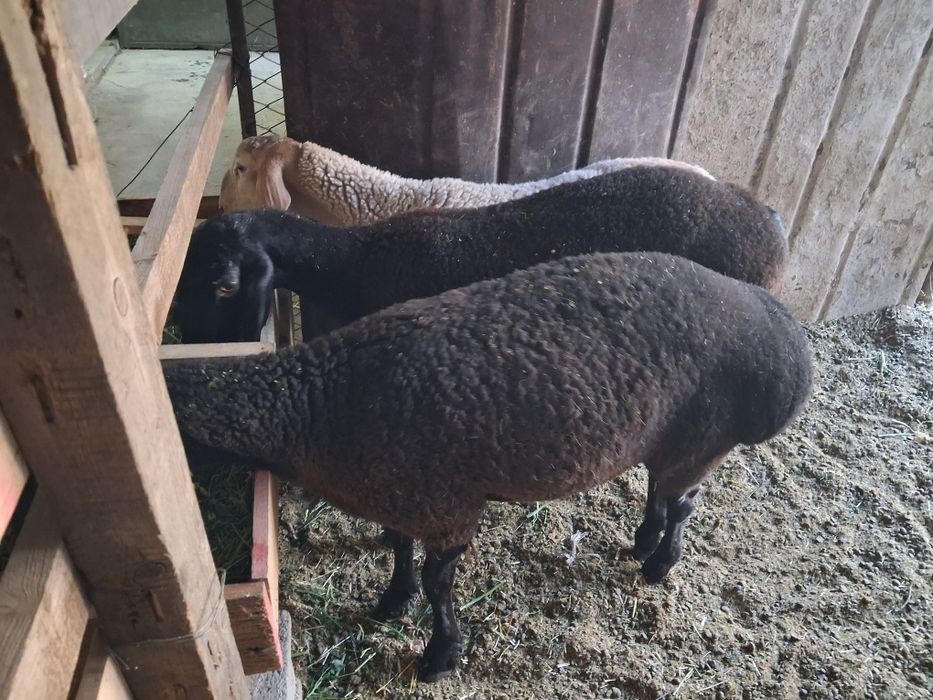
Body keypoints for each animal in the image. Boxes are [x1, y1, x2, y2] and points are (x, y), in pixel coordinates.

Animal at [164, 251, 813, 682]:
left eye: (214, 290)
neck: (316, 403)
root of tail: (785, 341)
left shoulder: (445, 504)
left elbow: (439, 583)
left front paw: (439, 656)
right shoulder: (396, 490)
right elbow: (399, 547)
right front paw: (392, 600)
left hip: (703, 438)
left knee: (683, 501)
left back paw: (659, 564)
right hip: (671, 437)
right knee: (661, 489)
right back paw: (642, 541)